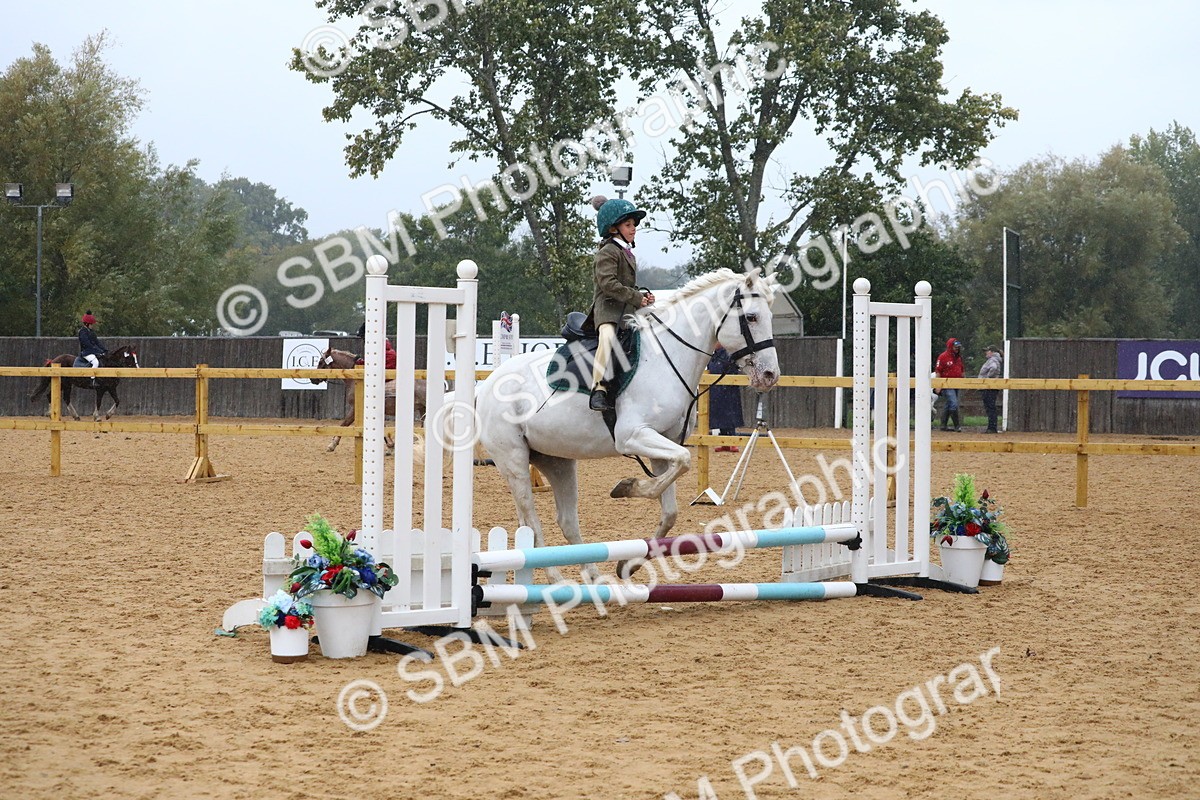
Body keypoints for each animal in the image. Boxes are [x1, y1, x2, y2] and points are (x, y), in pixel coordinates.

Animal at [475, 268, 781, 581]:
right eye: (752, 317)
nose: (770, 375)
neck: (665, 357)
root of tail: (488, 384)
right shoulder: (633, 435)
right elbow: (682, 462)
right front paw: (627, 487)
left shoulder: (663, 445)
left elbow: (670, 509)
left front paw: (629, 564)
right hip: (514, 462)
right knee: (530, 521)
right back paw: (556, 579)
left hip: (557, 461)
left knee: (565, 521)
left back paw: (593, 575)